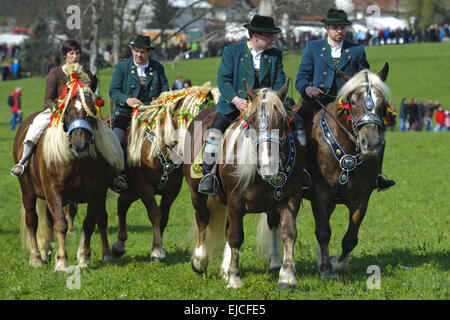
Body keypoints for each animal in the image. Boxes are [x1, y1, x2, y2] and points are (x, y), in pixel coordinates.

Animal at [14, 63, 123, 272]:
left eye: (91, 111)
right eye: (68, 112)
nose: (79, 145)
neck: (76, 162)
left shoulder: (96, 192)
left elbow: (89, 223)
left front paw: (84, 258)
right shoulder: (53, 191)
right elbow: (61, 224)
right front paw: (62, 262)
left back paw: (48, 251)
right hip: (27, 191)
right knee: (33, 220)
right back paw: (36, 258)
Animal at [107, 84, 216, 262]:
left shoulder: (172, 188)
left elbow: (164, 217)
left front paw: (157, 247)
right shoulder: (142, 185)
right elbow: (155, 213)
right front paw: (157, 251)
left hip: (131, 191)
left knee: (122, 203)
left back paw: (118, 246)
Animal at [184, 80, 306, 290]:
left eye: (283, 121)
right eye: (252, 121)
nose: (268, 166)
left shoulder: (290, 198)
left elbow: (288, 233)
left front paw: (287, 277)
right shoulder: (235, 200)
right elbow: (235, 237)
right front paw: (234, 278)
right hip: (197, 194)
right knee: (203, 220)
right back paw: (199, 260)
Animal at [262, 62, 392, 278]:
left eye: (382, 102)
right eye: (352, 101)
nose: (371, 141)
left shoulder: (361, 198)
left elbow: (350, 238)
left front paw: (336, 262)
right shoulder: (319, 193)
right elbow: (323, 231)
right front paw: (327, 269)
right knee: (272, 221)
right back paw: (274, 261)